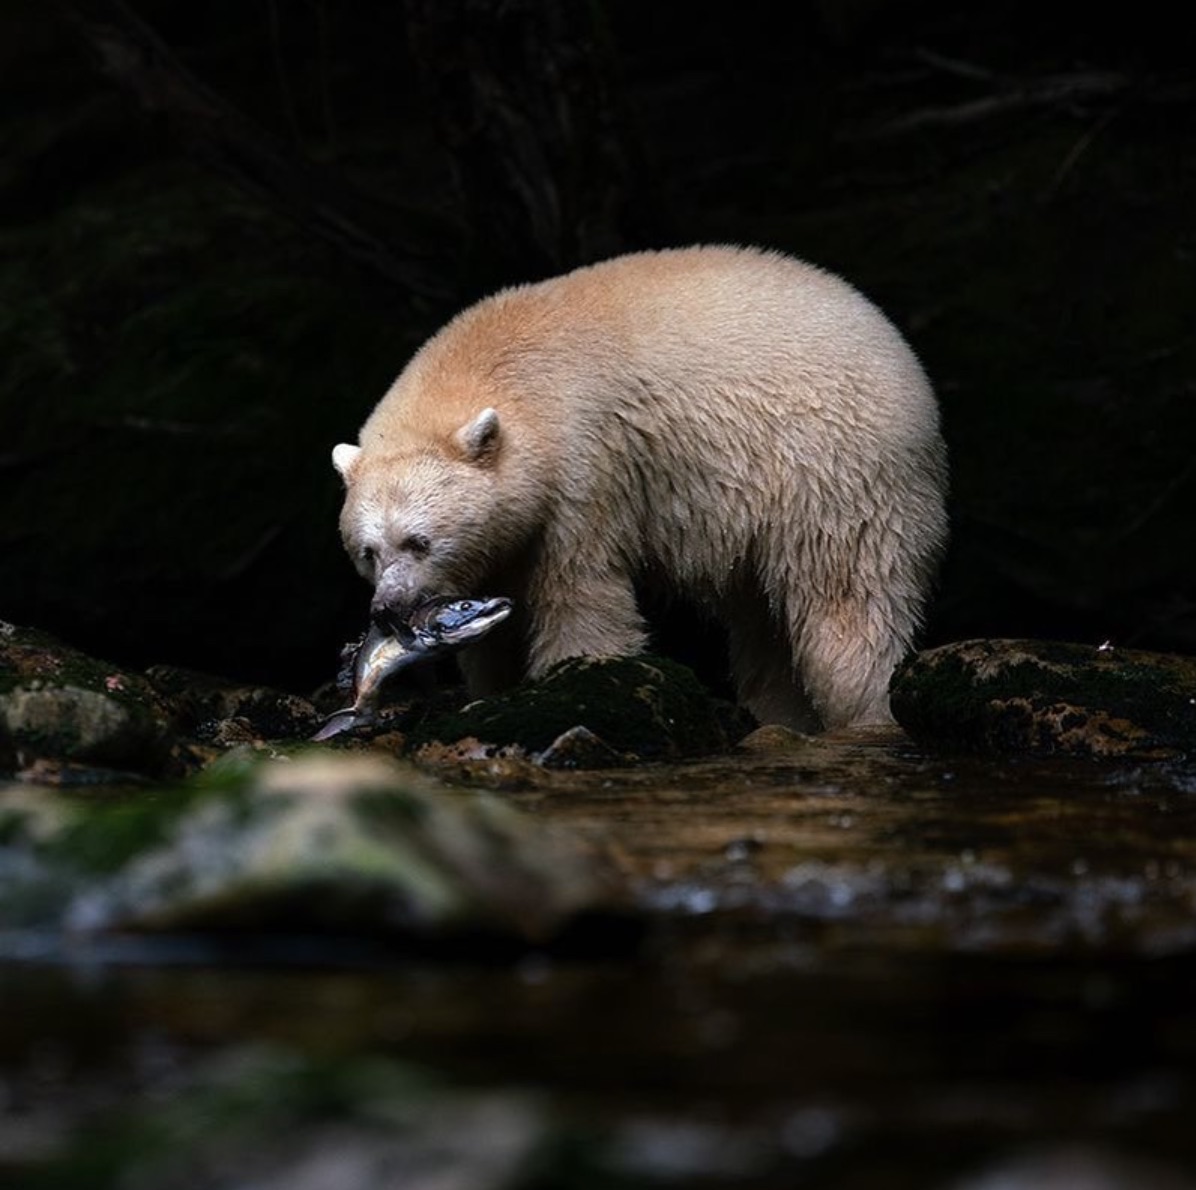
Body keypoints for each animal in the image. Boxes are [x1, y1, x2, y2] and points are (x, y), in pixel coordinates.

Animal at [332, 244, 948, 732]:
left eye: (419, 541)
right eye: (368, 551)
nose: (387, 609)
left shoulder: (585, 466)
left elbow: (581, 593)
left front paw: (572, 679)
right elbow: (495, 620)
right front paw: (488, 691)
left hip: (835, 473)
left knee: (845, 604)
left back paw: (863, 712)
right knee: (762, 620)